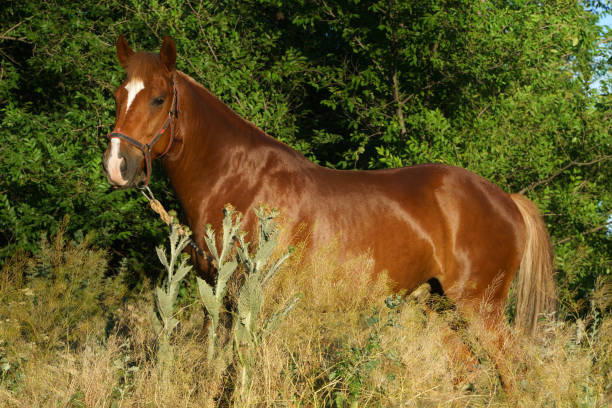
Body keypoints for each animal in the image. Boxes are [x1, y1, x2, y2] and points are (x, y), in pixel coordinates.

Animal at [104, 35, 556, 336]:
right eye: (118, 94)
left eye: (159, 98)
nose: (117, 164)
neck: (239, 179)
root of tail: (506, 200)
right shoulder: (217, 295)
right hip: (444, 312)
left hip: (481, 311)